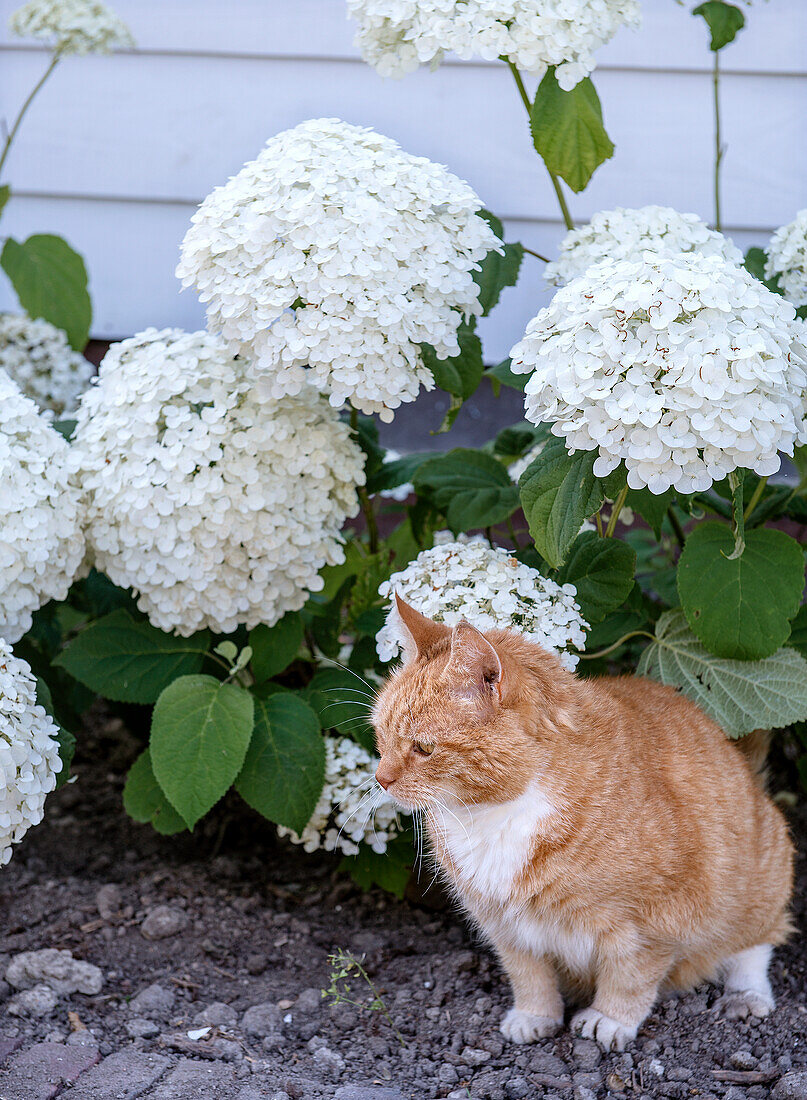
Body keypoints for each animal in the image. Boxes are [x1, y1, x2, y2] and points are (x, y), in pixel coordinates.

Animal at [373, 598, 796, 1051]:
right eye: (380, 736)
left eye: (423, 748)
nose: (381, 779)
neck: (496, 814)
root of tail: (745, 769)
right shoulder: (504, 926)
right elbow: (529, 975)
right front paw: (535, 1015)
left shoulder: (656, 919)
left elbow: (630, 976)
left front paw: (610, 1019)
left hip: (762, 877)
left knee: (754, 944)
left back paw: (745, 994)